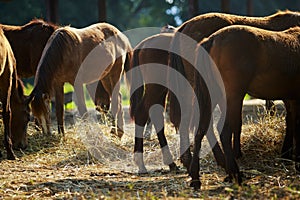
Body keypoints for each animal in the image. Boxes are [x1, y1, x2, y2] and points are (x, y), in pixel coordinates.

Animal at [190, 25, 300, 189]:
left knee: (201, 129)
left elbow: (291, 122)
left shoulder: (291, 98)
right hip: (233, 96)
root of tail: (212, 39)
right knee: (224, 131)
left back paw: (196, 178)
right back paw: (235, 174)